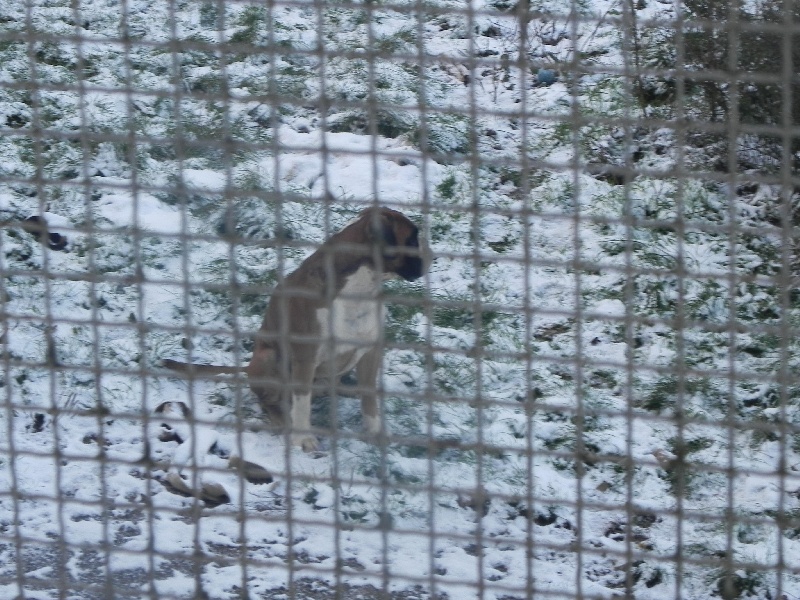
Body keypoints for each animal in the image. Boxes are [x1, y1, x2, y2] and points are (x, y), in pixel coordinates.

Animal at [159, 206, 428, 450]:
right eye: (411, 239)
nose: (430, 257)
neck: (359, 288)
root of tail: (248, 367)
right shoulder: (305, 359)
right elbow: (301, 404)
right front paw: (303, 439)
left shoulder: (371, 351)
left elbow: (370, 398)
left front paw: (374, 431)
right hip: (269, 357)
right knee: (271, 400)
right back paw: (281, 420)